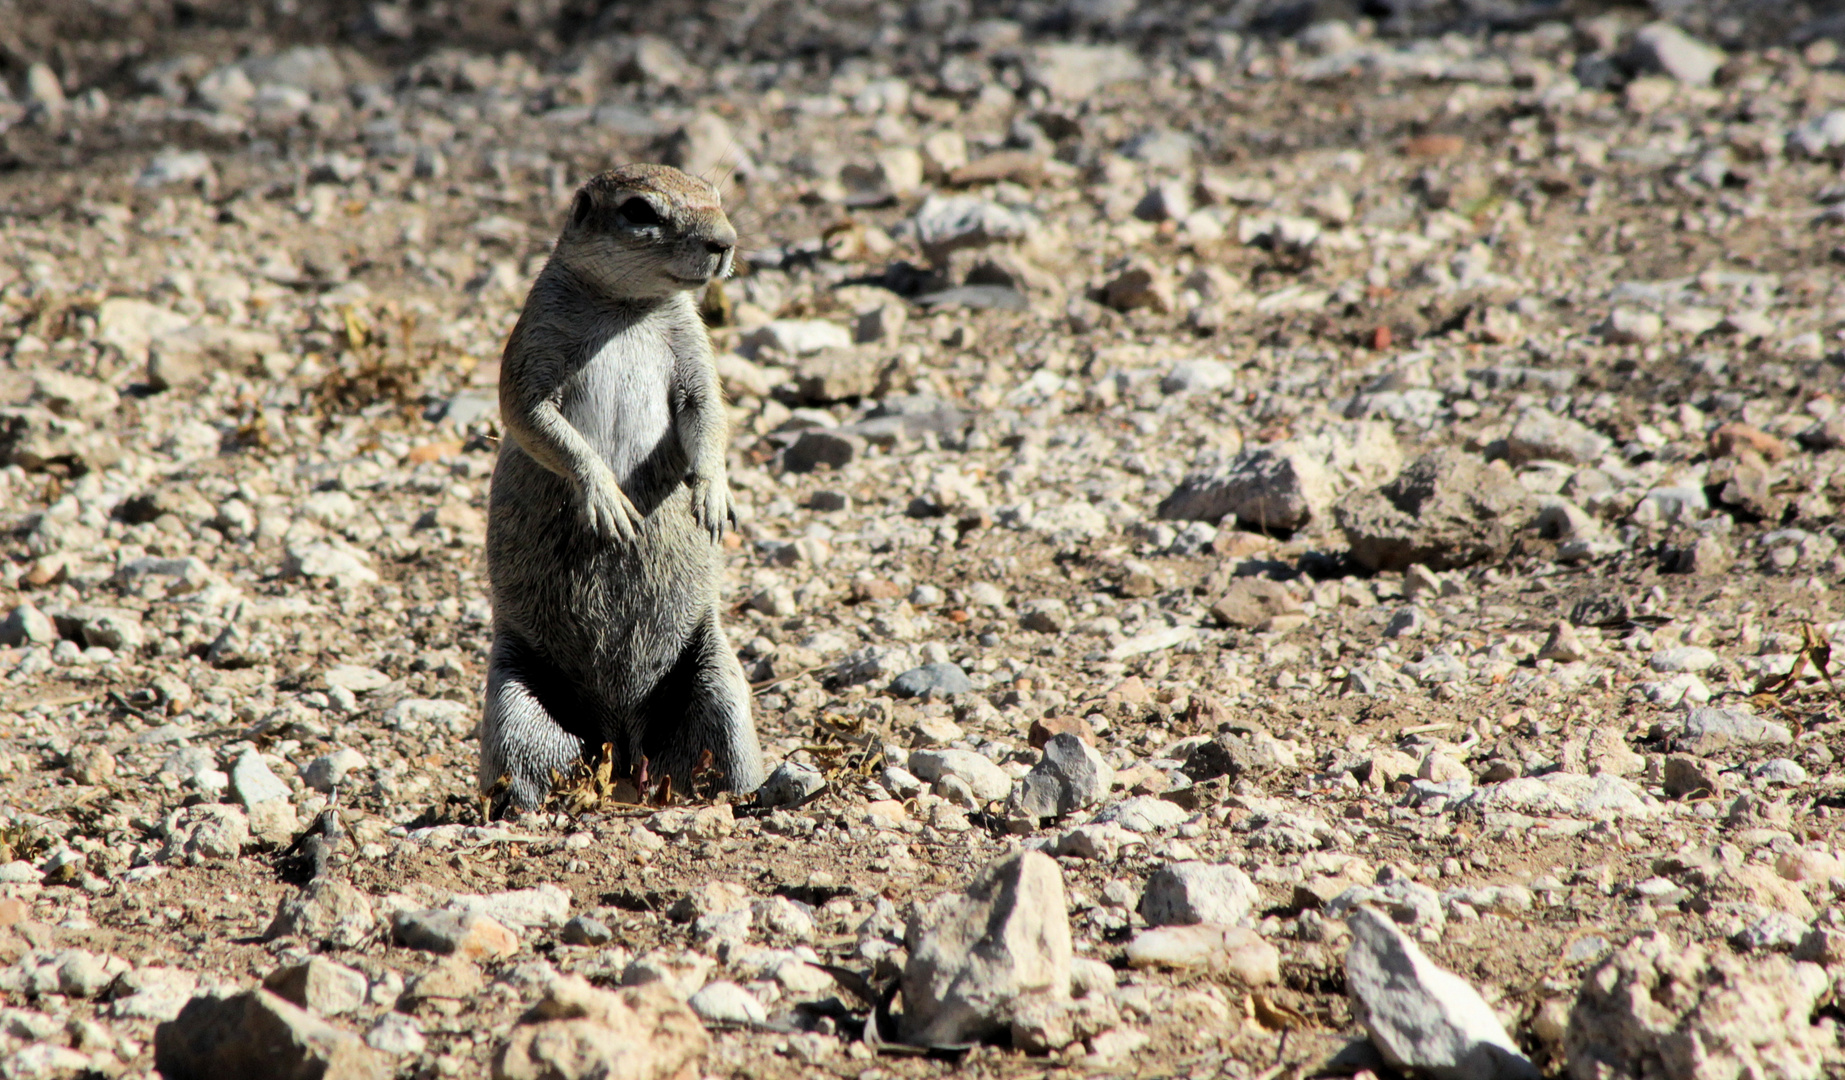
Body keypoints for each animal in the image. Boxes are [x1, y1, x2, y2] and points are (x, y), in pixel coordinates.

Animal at [483, 164, 763, 808]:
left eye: (716, 196)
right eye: (640, 210)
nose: (726, 241)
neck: (624, 308)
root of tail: (623, 737)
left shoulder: (694, 349)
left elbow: (709, 413)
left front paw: (712, 494)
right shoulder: (533, 342)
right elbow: (531, 416)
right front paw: (606, 496)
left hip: (720, 691)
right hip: (514, 706)